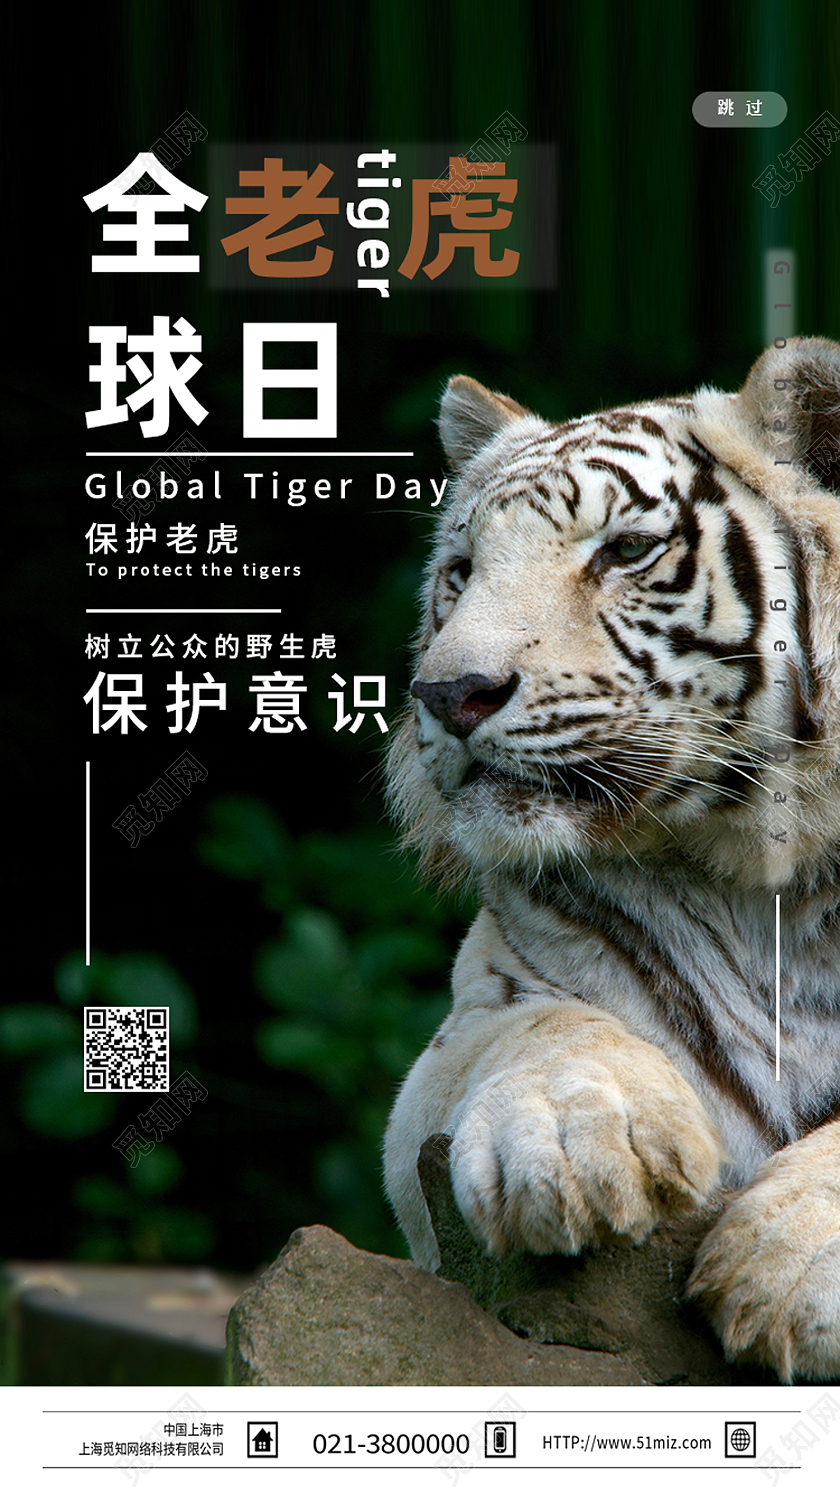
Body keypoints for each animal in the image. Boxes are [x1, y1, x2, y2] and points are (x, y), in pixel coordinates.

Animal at [383, 338, 840, 1384]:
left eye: (626, 552)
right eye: (462, 571)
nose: (449, 693)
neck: (761, 884)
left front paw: (782, 1275)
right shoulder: (467, 1030)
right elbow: (541, 1024)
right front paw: (571, 1148)